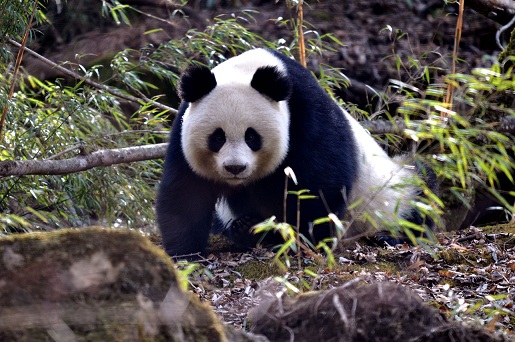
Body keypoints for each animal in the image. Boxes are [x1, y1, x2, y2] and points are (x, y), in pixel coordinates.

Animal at [155, 48, 434, 256]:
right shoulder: (183, 130)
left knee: (420, 192)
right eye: (217, 137)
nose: (235, 168)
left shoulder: (307, 116)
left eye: (252, 137)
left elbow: (320, 185)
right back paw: (245, 227)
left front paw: (301, 238)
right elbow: (186, 191)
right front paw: (185, 252)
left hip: (392, 193)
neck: (249, 70)